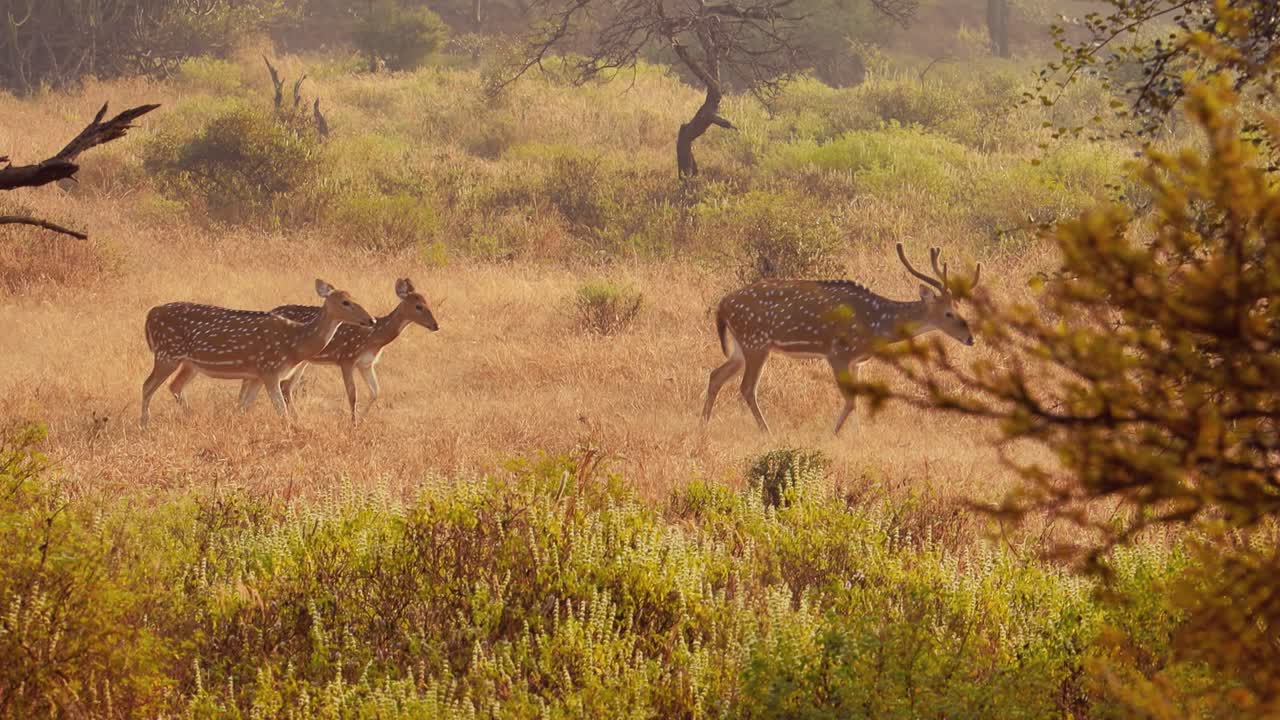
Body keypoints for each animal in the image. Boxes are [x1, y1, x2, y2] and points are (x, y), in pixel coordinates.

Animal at [140, 279, 375, 426]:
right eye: (345, 302)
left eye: (354, 297)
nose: (371, 319)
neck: (295, 344)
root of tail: (150, 314)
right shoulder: (270, 370)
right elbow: (282, 414)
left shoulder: (256, 375)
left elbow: (244, 407)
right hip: (167, 353)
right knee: (147, 385)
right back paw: (144, 425)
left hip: (189, 363)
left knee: (174, 385)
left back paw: (192, 417)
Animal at [234, 278, 439, 420]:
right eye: (418, 306)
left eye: (429, 302)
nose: (436, 325)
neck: (376, 337)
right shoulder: (346, 358)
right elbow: (353, 395)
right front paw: (353, 424)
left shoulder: (366, 364)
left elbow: (376, 392)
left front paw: (362, 420)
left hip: (301, 361)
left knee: (284, 387)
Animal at [703, 243, 981, 435]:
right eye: (948, 313)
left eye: (959, 307)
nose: (970, 338)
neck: (876, 327)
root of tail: (722, 306)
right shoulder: (837, 353)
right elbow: (850, 401)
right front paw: (832, 434)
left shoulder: (857, 361)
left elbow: (857, 401)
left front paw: (859, 436)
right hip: (756, 342)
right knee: (747, 387)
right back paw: (766, 432)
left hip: (741, 347)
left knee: (716, 375)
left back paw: (702, 424)